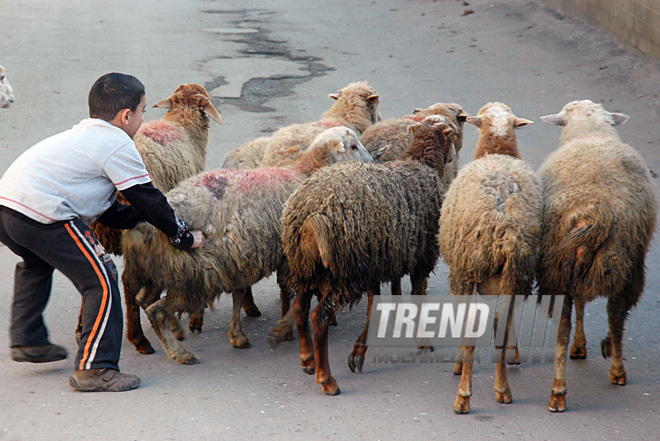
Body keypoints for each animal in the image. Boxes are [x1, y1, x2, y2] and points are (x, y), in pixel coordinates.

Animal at [120, 125, 374, 362]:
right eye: (353, 146)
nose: (372, 161)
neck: (302, 173)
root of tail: (141, 230)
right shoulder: (285, 257)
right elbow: (295, 295)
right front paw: (282, 329)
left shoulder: (238, 260)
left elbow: (240, 294)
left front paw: (238, 335)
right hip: (192, 276)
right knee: (156, 310)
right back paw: (178, 352)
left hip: (165, 270)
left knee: (145, 300)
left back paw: (175, 331)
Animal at [282, 114, 458, 396]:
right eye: (452, 134)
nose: (453, 155)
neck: (419, 166)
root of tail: (311, 216)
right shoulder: (422, 258)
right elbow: (417, 297)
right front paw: (423, 341)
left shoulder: (376, 262)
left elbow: (374, 307)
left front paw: (359, 352)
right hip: (344, 272)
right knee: (318, 318)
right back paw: (326, 379)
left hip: (307, 266)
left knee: (299, 308)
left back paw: (307, 360)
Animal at [436, 101, 540, 414]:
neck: (496, 150)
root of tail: (502, 227)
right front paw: (514, 354)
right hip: (514, 272)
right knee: (501, 327)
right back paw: (502, 388)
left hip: (468, 268)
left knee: (471, 327)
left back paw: (463, 396)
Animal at [536, 99, 656, 412]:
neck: (589, 132)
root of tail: (592, 211)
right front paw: (599, 346)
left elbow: (580, 303)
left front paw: (580, 345)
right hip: (624, 263)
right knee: (616, 315)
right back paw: (616, 367)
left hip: (560, 267)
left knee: (562, 329)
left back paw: (558, 392)